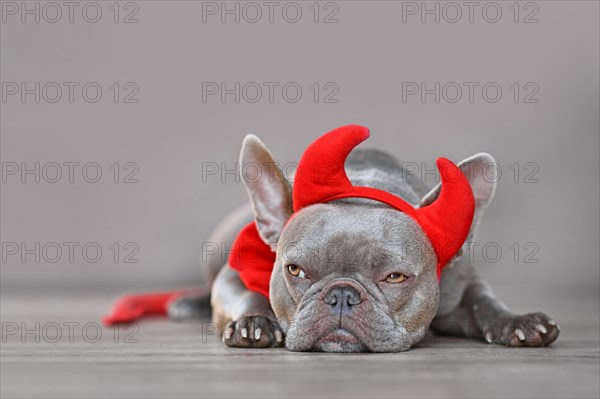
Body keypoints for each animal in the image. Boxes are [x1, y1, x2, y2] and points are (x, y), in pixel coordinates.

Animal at [168, 126, 556, 354]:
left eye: (395, 277)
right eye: (295, 271)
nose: (342, 294)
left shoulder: (461, 286)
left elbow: (482, 301)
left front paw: (517, 321)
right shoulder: (235, 273)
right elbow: (244, 293)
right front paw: (254, 322)